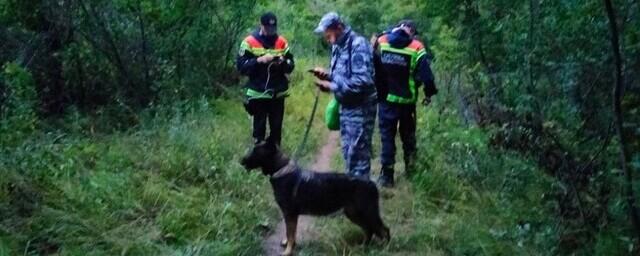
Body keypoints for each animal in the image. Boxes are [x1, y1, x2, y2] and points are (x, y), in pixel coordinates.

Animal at [240, 141, 390, 255]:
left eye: (256, 151)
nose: (241, 160)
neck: (281, 170)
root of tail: (372, 183)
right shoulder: (291, 215)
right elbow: (290, 234)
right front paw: (289, 244)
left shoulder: (290, 214)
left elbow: (290, 234)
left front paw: (288, 250)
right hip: (354, 213)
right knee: (369, 230)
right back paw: (363, 247)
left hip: (367, 213)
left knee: (383, 230)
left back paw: (384, 248)